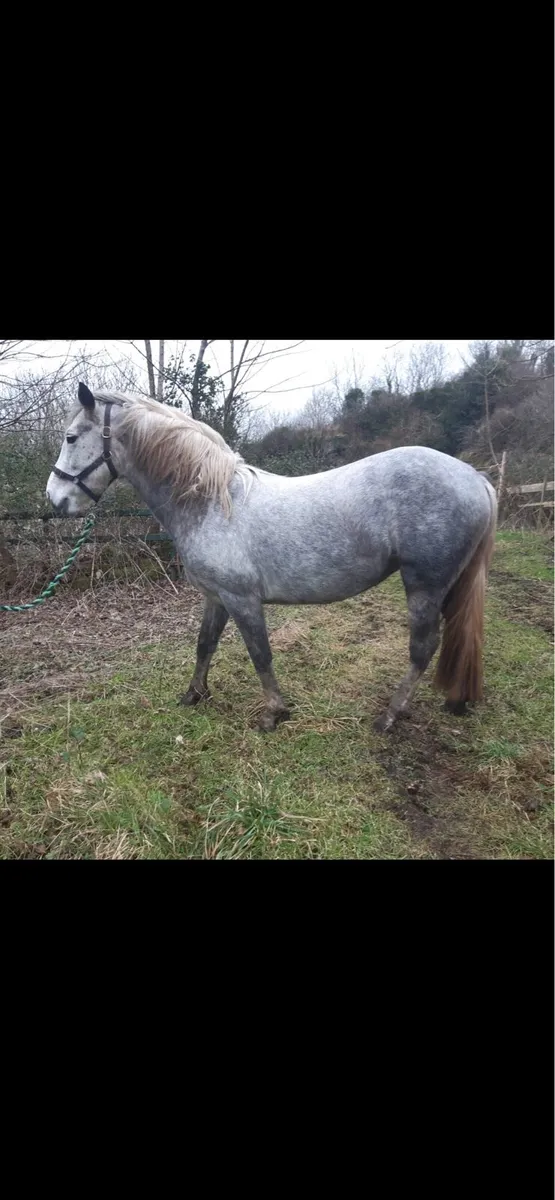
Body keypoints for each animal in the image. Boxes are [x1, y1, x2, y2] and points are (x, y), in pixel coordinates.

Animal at [46, 383, 497, 733]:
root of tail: (475, 478)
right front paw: (194, 694)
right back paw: (454, 700)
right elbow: (204, 645)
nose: (55, 499)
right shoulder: (215, 596)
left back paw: (389, 716)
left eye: (71, 437)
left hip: (424, 584)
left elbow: (260, 653)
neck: (213, 502)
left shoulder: (242, 599)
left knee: (423, 647)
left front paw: (274, 714)